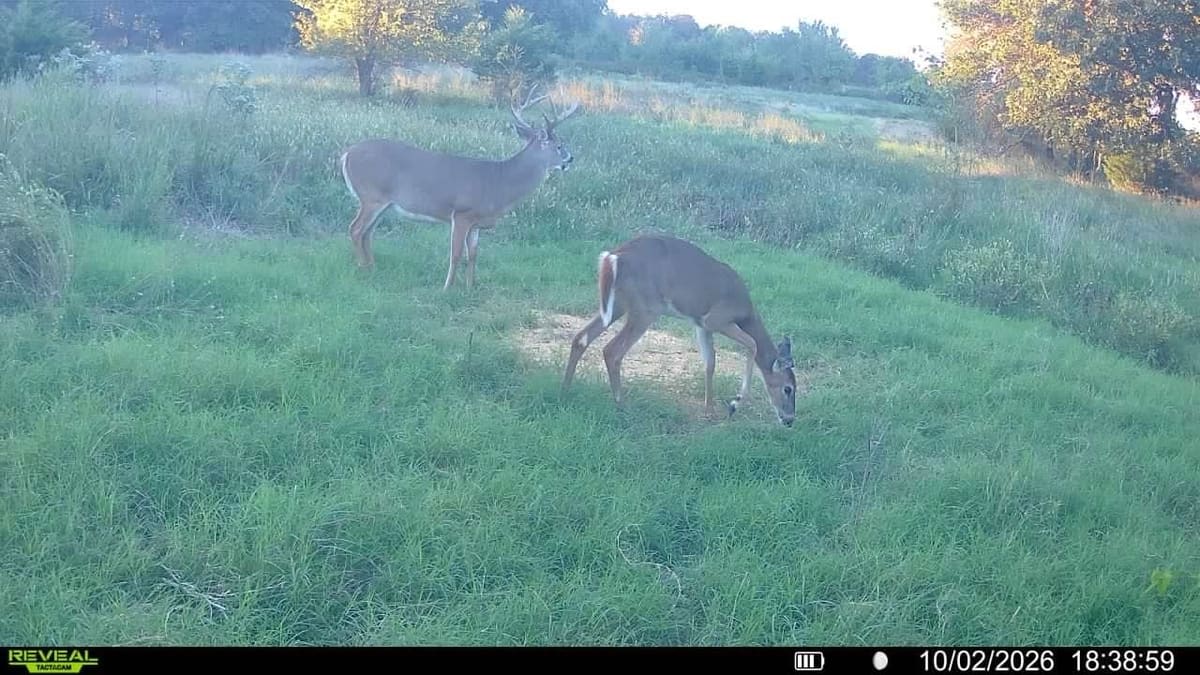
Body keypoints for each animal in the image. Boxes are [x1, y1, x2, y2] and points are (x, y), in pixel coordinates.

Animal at [337, 86, 583, 290]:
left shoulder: (476, 222)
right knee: (356, 229)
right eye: (559, 145)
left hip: (384, 203)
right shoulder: (462, 213)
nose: (570, 159)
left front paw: (470, 286)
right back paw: (363, 268)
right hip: (372, 196)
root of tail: (347, 153)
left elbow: (473, 254)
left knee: (367, 232)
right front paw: (447, 288)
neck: (498, 182)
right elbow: (455, 254)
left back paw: (372, 267)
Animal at [560, 234, 799, 426]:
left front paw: (710, 411)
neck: (746, 313)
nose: (789, 420)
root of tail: (613, 257)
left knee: (581, 337)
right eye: (788, 388)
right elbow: (752, 344)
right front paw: (734, 404)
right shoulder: (716, 319)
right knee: (612, 350)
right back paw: (622, 405)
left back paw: (565, 389)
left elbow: (710, 362)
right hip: (646, 307)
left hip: (618, 303)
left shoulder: (701, 325)